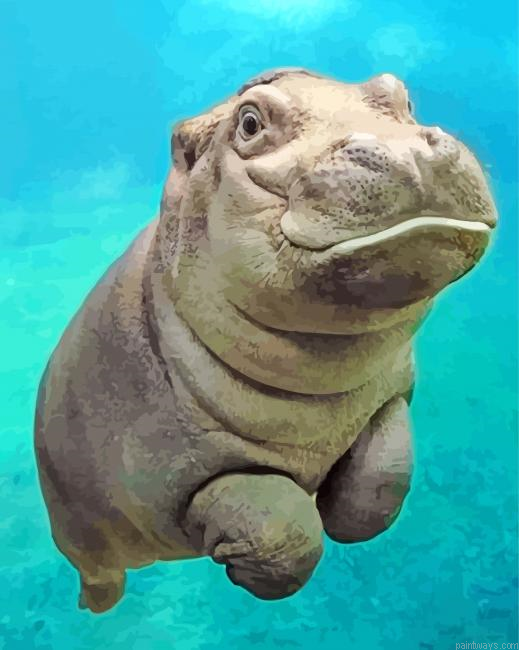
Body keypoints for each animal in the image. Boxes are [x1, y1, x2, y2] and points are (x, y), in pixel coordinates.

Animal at [34, 68, 497, 613]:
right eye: (250, 122)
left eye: (401, 96)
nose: (406, 150)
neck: (322, 380)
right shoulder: (174, 479)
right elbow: (282, 527)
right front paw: (250, 565)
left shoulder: (390, 394)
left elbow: (386, 470)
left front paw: (344, 518)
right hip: (78, 530)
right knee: (100, 572)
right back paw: (95, 607)